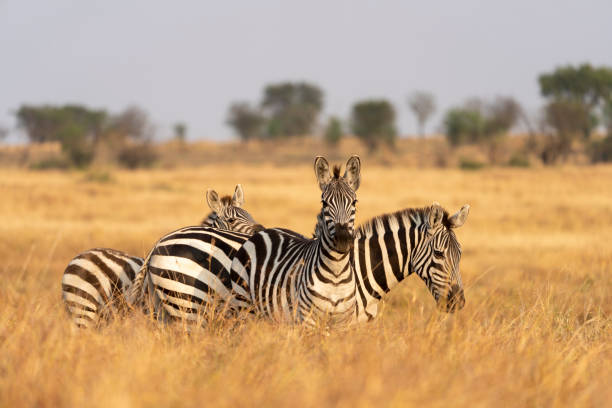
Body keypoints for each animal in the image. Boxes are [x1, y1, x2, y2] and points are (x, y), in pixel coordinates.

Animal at [231, 155, 364, 326]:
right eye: (324, 203)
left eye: (354, 202)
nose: (343, 240)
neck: (336, 272)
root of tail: (263, 232)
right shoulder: (308, 320)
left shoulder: (343, 323)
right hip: (243, 304)